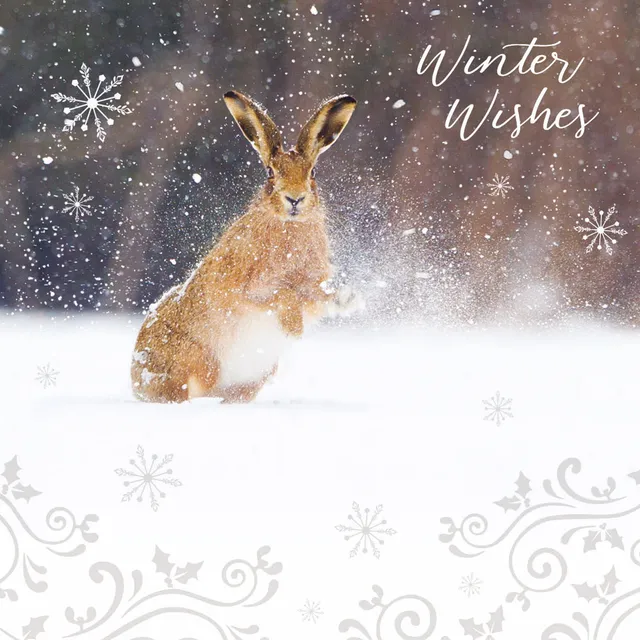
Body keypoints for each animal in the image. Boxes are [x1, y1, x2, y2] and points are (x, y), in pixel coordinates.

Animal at [131, 90, 362, 403]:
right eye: (270, 173)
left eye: (312, 172)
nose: (295, 199)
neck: (287, 226)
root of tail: (135, 380)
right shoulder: (242, 289)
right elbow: (281, 294)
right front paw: (293, 326)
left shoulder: (311, 287)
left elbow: (314, 298)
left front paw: (347, 299)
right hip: (194, 363)